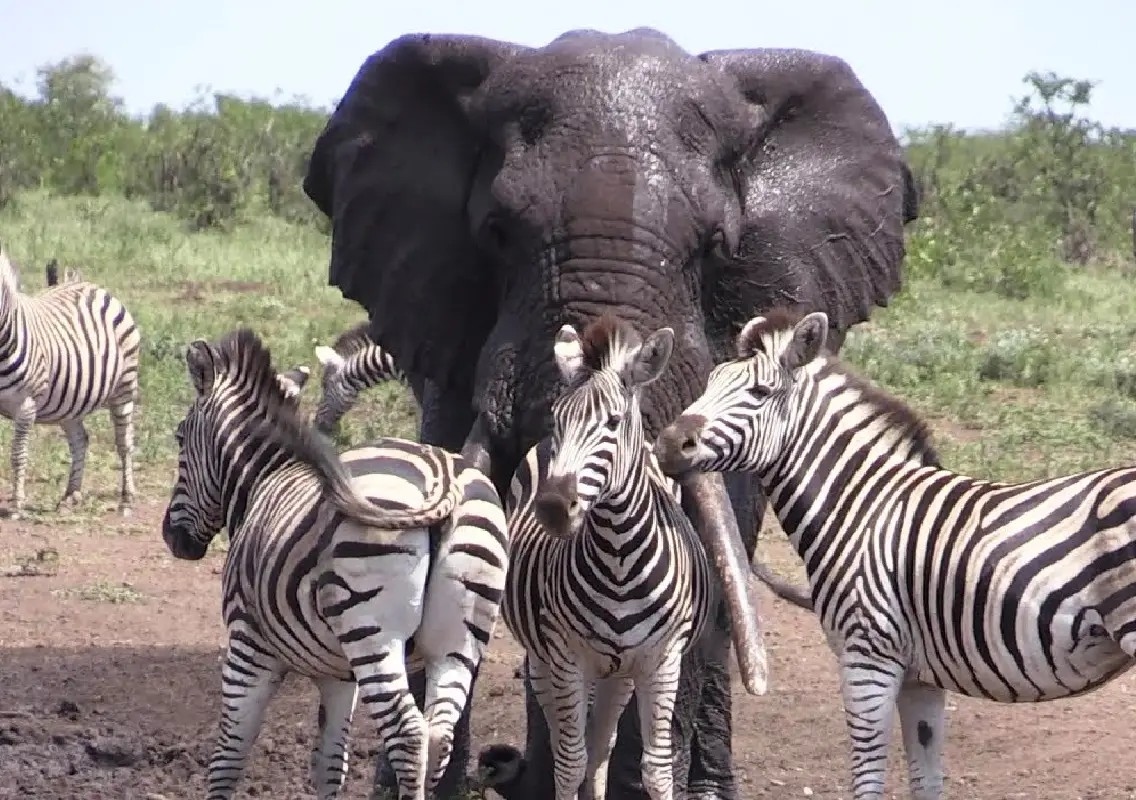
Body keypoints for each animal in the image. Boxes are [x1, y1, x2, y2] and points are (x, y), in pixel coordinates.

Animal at [0, 242, 141, 518]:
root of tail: (84, 283)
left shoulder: (26, 405)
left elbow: (18, 454)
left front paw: (16, 505)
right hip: (70, 401)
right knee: (80, 440)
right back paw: (70, 496)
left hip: (124, 388)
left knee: (124, 443)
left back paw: (126, 500)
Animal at [160, 326, 509, 800]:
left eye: (180, 439)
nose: (171, 537)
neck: (266, 477)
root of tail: (442, 473)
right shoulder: (339, 676)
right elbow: (329, 764)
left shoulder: (248, 642)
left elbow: (228, 754)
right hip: (460, 637)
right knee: (439, 734)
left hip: (373, 632)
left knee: (409, 734)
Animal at [501, 314, 714, 800]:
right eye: (558, 419)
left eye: (613, 422)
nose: (552, 507)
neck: (618, 559)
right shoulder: (565, 656)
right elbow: (569, 762)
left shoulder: (662, 660)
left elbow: (653, 767)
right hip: (547, 659)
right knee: (572, 743)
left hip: (620, 673)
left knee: (603, 743)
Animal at [653, 307, 1136, 800]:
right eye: (711, 382)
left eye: (759, 393)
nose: (668, 443)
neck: (863, 504)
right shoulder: (920, 677)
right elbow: (926, 778)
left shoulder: (867, 658)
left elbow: (867, 778)